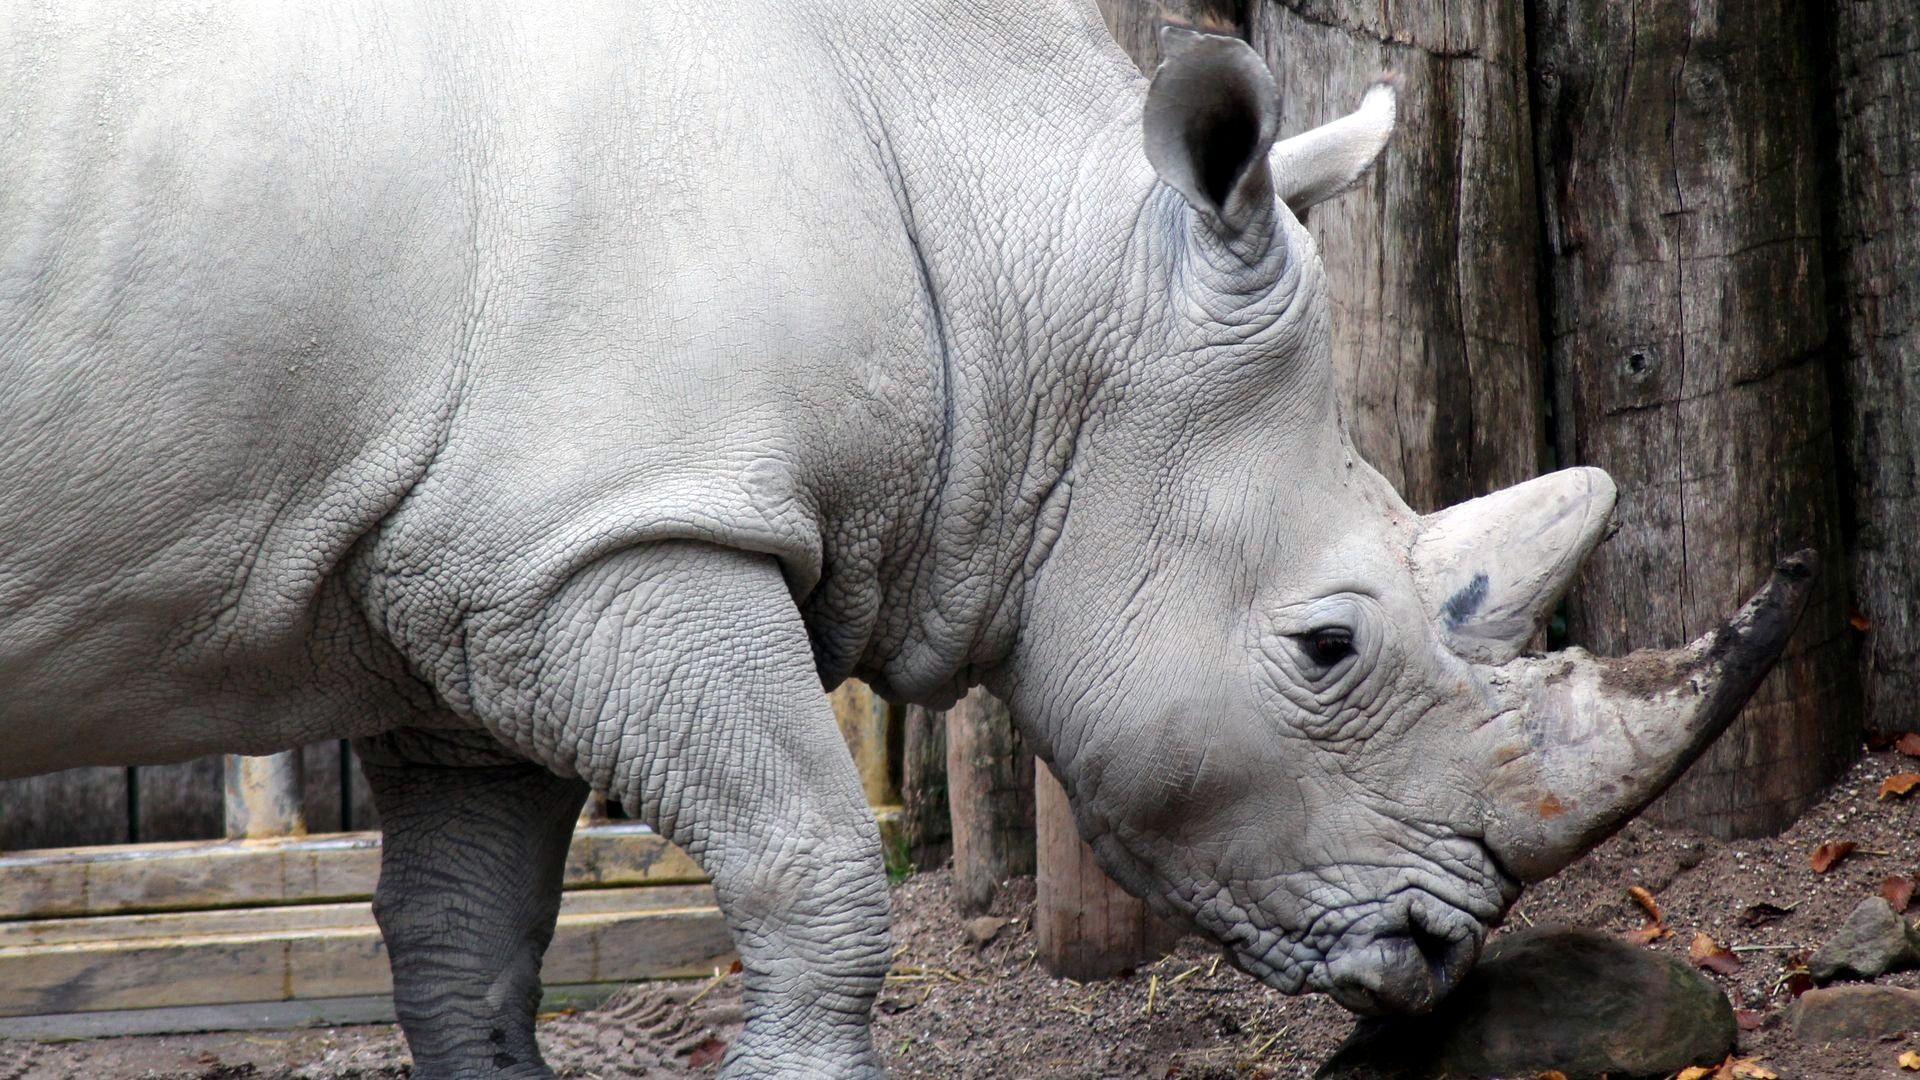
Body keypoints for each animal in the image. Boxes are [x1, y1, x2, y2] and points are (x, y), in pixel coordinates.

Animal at [1, 1, 1814, 1076]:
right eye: (1327, 645)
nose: (1443, 948)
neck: (1030, 267)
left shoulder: (481, 574)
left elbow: (467, 945)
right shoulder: (622, 541)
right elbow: (816, 874)